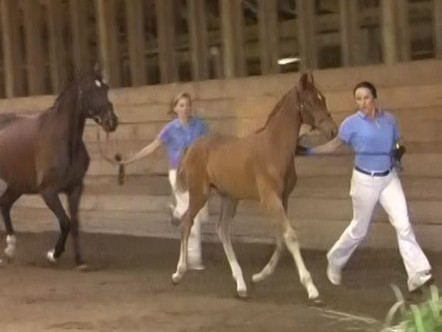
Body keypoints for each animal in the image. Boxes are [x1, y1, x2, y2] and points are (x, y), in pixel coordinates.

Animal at [0, 70, 118, 268]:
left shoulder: (75, 188)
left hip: (18, 185)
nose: (112, 121)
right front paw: (53, 254)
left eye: (106, 88)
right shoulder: (49, 192)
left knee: (5, 203)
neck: (63, 141)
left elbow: (75, 223)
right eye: (89, 90)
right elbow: (65, 222)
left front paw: (80, 260)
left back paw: (10, 249)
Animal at [174, 74, 338, 304]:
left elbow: (281, 238)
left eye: (322, 98)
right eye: (312, 101)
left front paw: (260, 275)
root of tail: (191, 148)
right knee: (187, 222)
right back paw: (179, 273)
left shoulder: (283, 198)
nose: (333, 130)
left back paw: (241, 284)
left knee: (222, 229)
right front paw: (311, 288)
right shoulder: (270, 199)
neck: (273, 148)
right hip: (200, 194)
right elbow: (290, 236)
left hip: (229, 197)